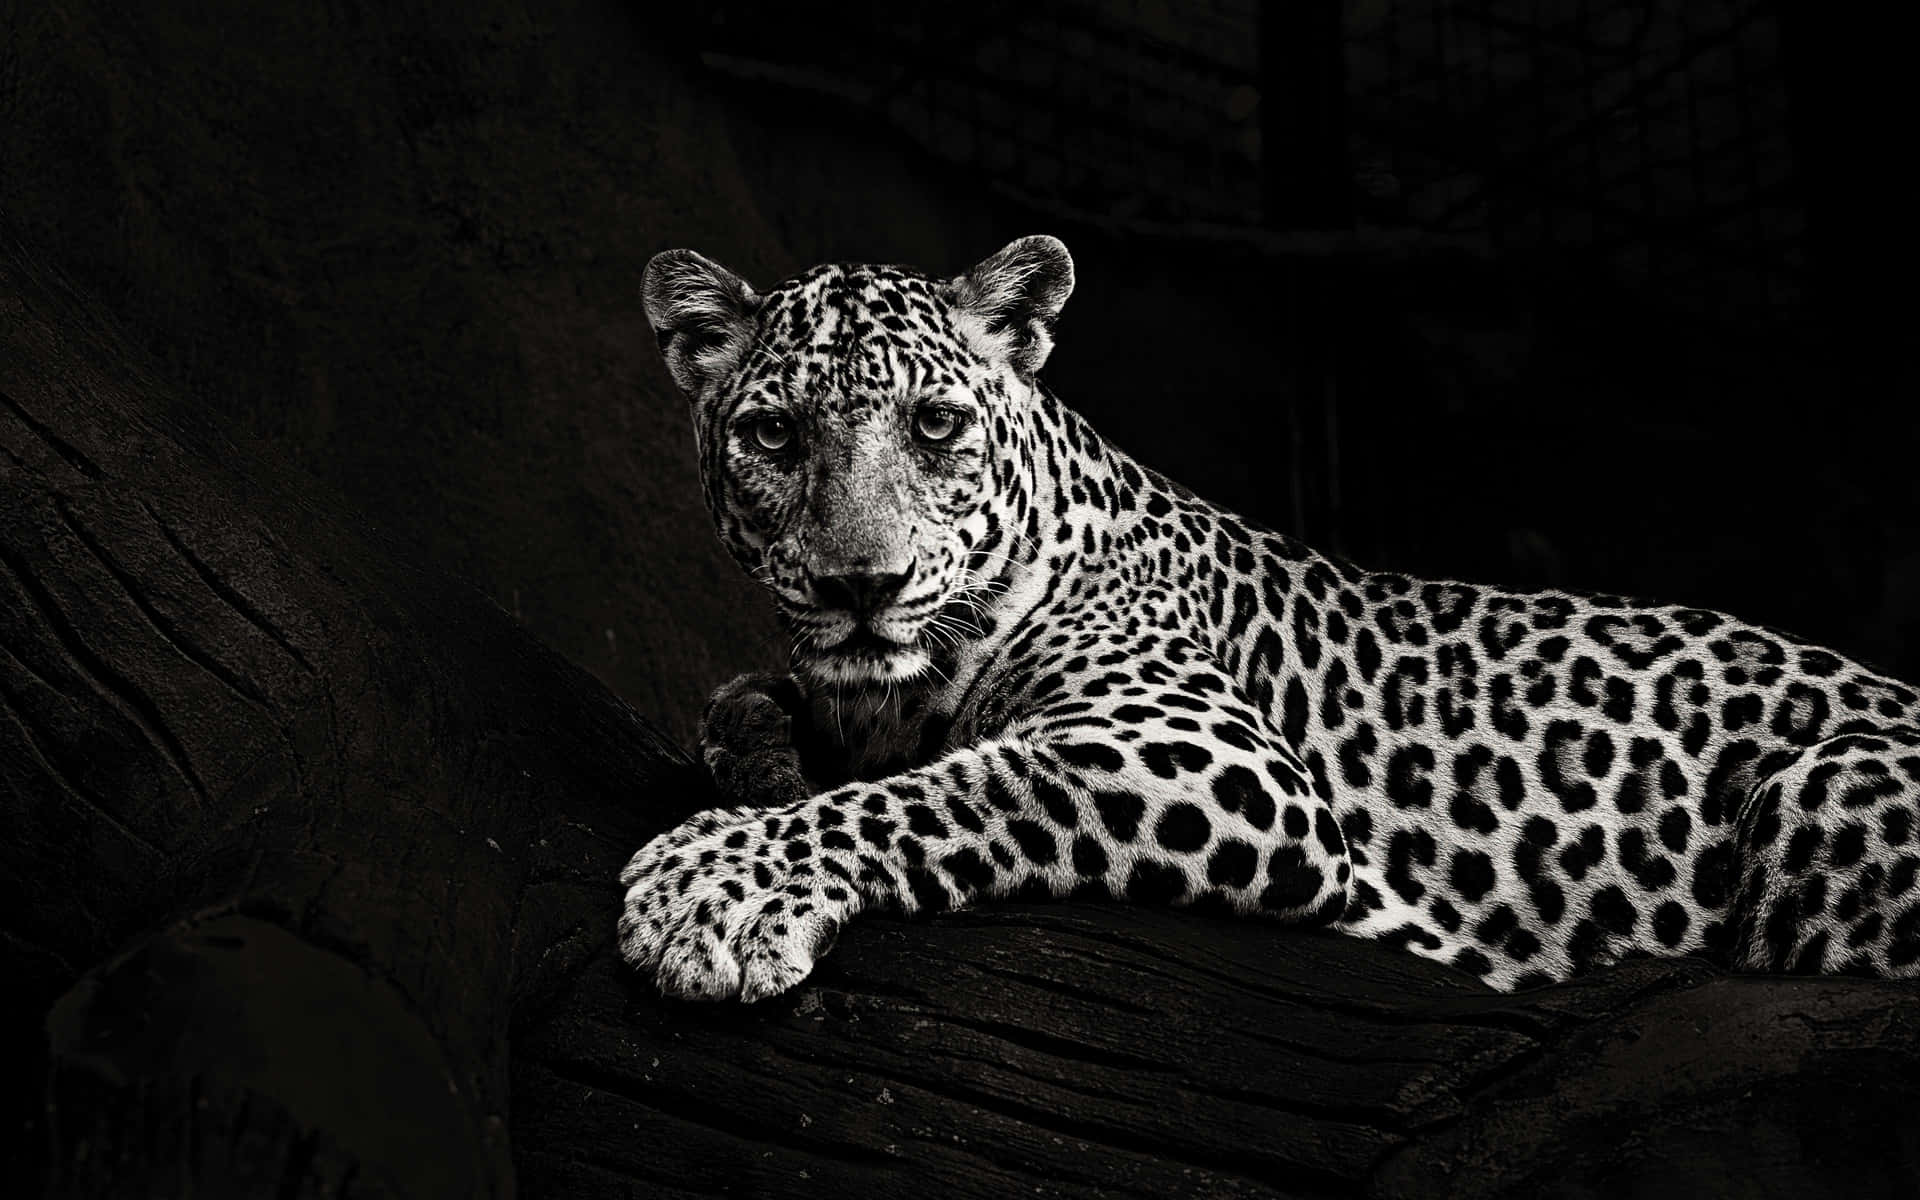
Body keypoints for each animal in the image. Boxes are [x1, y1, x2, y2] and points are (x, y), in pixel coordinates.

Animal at [618, 234, 1920, 998]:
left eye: (935, 426)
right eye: (774, 434)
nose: (861, 585)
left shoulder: (1204, 753)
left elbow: (957, 788)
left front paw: (712, 885)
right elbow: (748, 711)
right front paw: (763, 769)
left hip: (1817, 798)